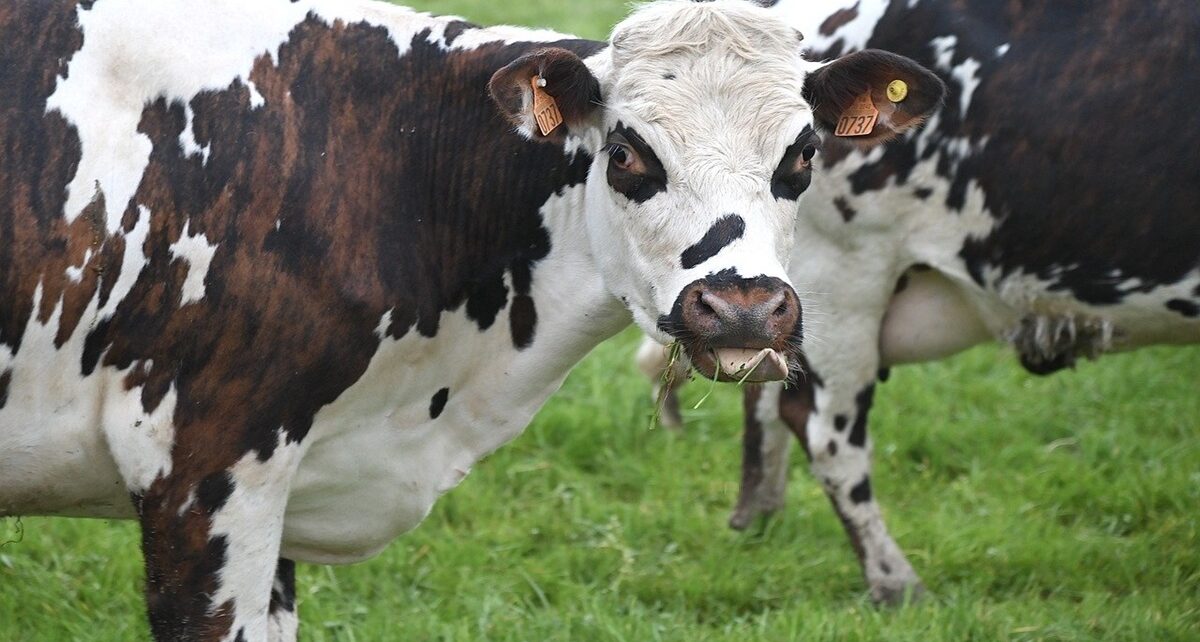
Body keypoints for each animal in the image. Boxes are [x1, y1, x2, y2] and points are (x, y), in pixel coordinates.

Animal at [638, 0, 1200, 606]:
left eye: (802, 149)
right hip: (843, 281)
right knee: (822, 431)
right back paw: (895, 583)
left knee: (764, 393)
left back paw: (759, 516)